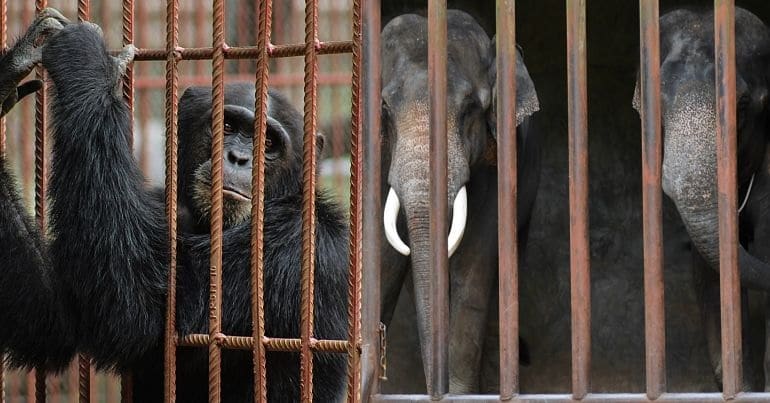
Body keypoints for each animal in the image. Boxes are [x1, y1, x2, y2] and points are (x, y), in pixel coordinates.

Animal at [0, 9, 348, 403]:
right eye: (228, 125)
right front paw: (11, 70)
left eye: (269, 143)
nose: (239, 157)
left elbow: (142, 311)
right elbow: (55, 319)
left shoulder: (295, 243)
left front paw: (87, 60)